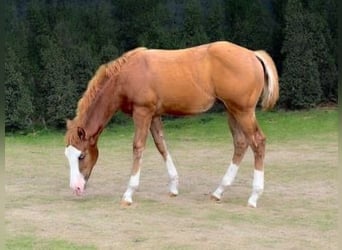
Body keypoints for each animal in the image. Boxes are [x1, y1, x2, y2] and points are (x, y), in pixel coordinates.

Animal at [63, 42, 278, 208]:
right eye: (68, 156)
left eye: (81, 156)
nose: (76, 188)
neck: (125, 76)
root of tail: (252, 54)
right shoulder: (154, 115)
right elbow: (161, 145)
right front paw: (173, 186)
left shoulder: (142, 112)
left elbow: (138, 147)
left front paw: (128, 194)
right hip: (231, 110)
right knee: (241, 143)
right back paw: (219, 191)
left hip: (243, 111)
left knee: (258, 142)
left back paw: (254, 196)